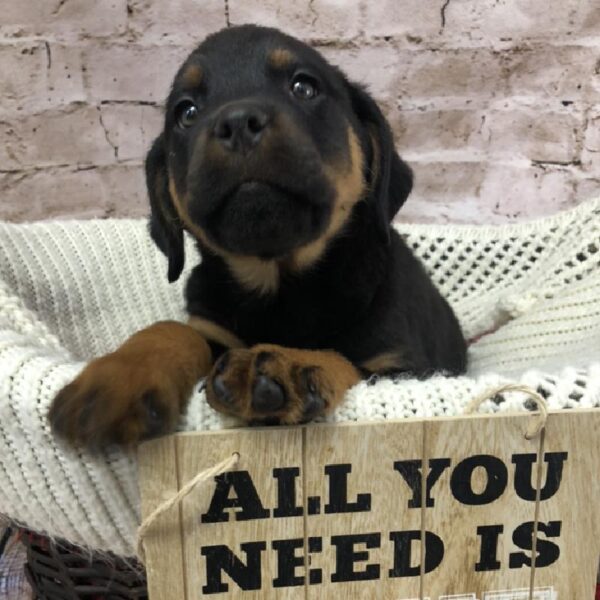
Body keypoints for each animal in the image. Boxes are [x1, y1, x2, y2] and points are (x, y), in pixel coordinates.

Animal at [49, 27, 466, 450]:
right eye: (187, 112)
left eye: (304, 87)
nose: (236, 123)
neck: (279, 280)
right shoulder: (212, 325)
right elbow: (177, 330)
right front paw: (120, 376)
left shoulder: (403, 368)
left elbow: (343, 359)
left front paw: (287, 363)